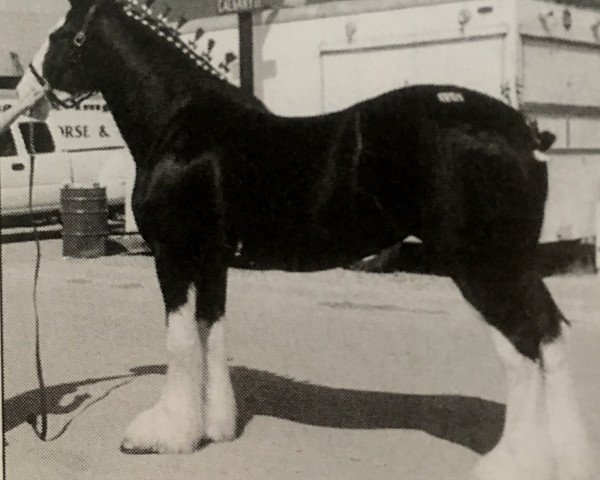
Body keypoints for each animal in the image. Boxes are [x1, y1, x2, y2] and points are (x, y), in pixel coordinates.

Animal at [19, 1, 592, 478]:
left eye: (62, 34)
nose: (25, 90)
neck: (182, 124)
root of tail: (524, 131)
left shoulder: (176, 257)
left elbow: (181, 341)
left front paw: (166, 435)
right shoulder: (212, 262)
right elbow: (210, 332)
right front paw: (215, 427)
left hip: (482, 266)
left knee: (524, 349)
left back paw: (512, 463)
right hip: (512, 264)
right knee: (549, 337)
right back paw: (564, 458)